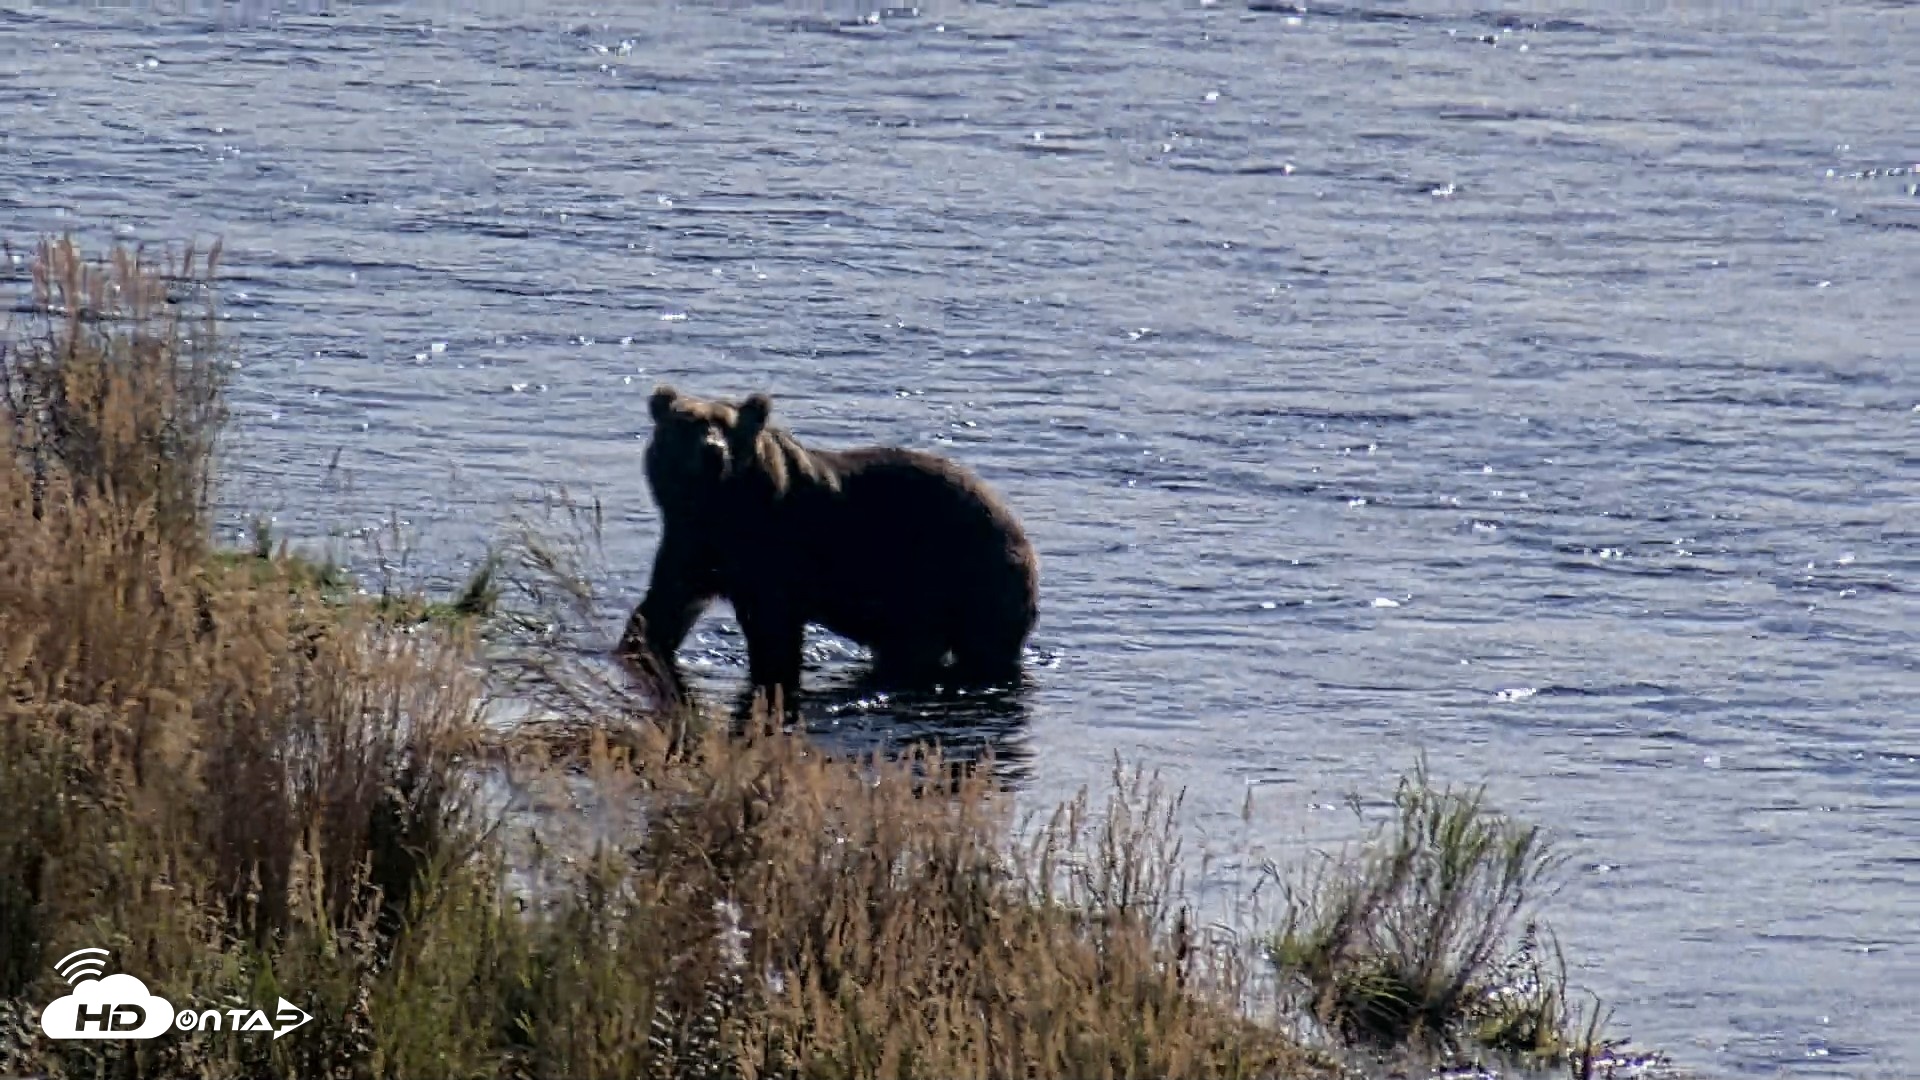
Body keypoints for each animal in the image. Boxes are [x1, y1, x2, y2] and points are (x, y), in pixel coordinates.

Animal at [618, 385, 1040, 709]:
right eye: (687, 423)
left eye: (727, 426)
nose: (712, 450)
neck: (719, 510)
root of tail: (1015, 523)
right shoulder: (689, 544)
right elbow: (664, 608)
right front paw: (637, 645)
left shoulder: (771, 556)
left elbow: (774, 632)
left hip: (964, 572)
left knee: (983, 644)